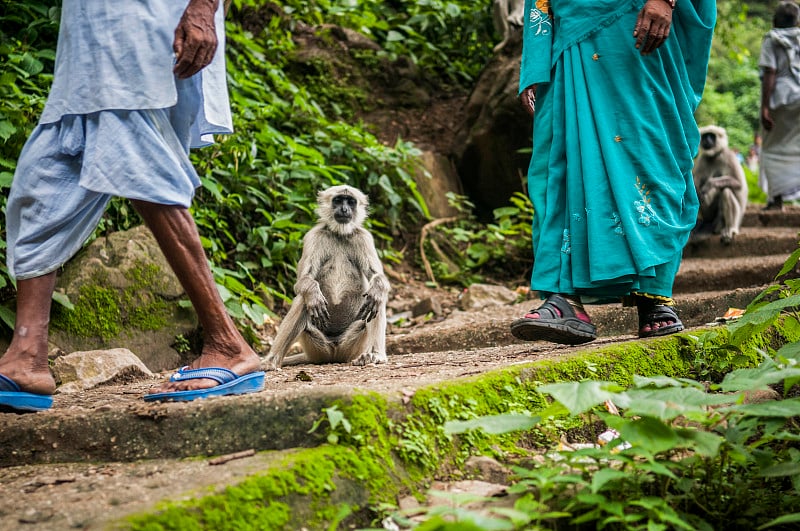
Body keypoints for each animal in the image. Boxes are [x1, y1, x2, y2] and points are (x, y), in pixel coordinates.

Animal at [266, 186, 390, 370]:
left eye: (350, 202)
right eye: (338, 200)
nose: (344, 209)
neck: (339, 234)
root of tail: (334, 351)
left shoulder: (363, 237)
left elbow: (377, 277)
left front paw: (376, 289)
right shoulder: (314, 236)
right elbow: (303, 281)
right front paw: (313, 295)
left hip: (350, 346)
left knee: (376, 298)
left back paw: (374, 354)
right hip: (316, 345)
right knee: (303, 299)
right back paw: (271, 361)